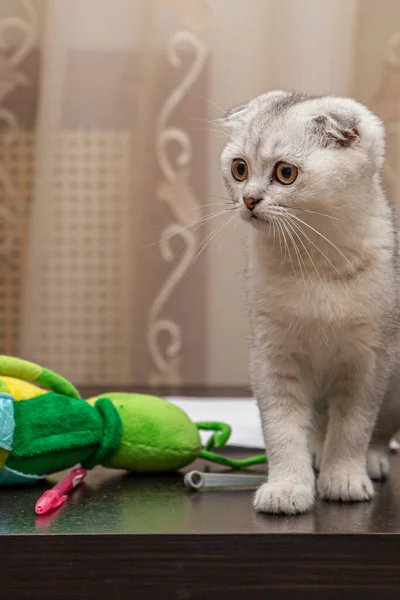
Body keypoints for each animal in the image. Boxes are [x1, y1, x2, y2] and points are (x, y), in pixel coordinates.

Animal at [219, 91, 400, 512]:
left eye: (286, 172)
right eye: (239, 169)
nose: (249, 199)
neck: (312, 262)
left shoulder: (368, 361)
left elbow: (353, 428)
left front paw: (344, 478)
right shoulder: (272, 358)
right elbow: (282, 432)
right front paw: (287, 487)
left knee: (380, 431)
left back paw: (373, 461)